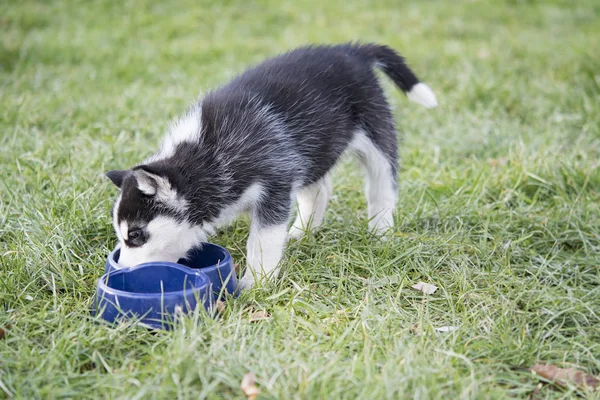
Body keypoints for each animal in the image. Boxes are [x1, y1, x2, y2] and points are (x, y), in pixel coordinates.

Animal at [105, 43, 438, 288]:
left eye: (136, 235)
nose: (119, 271)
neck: (207, 155)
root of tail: (350, 50)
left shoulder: (274, 183)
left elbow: (263, 241)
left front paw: (256, 283)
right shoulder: (285, 170)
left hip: (374, 133)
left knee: (382, 185)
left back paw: (380, 230)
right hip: (311, 151)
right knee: (318, 189)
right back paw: (302, 232)